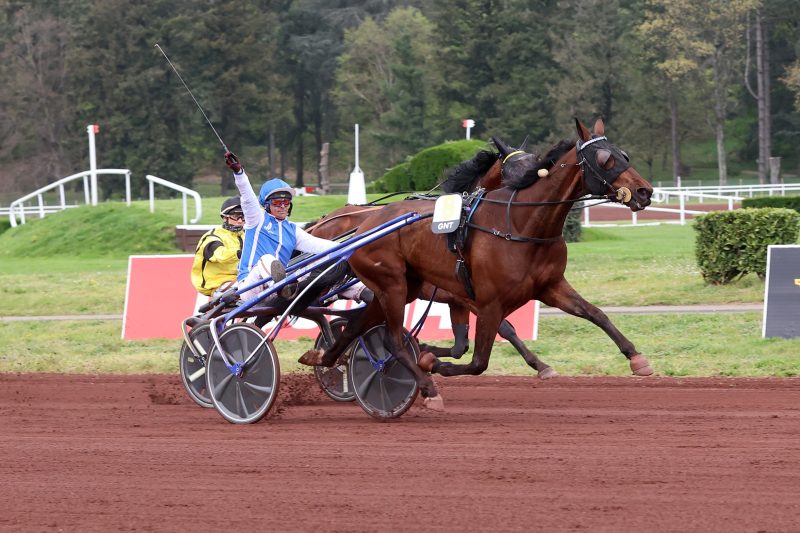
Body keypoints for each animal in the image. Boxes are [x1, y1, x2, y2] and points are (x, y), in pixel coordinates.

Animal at [304, 148, 560, 376]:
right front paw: (540, 365)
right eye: (514, 169)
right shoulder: (470, 297)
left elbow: (461, 346)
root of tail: (322, 221)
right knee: (311, 306)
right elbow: (504, 328)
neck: (463, 224)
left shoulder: (459, 299)